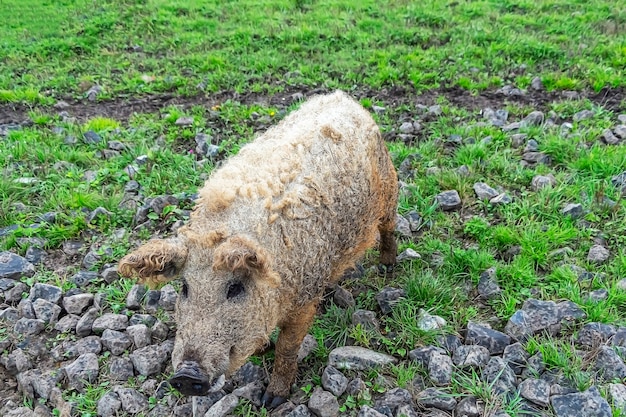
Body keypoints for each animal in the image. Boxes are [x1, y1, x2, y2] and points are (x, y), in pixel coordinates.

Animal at [119, 91, 398, 406]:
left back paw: (387, 266)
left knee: (389, 226)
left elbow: (288, 347)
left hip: (389, 185)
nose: (186, 376)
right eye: (185, 288)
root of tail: (342, 97)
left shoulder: (304, 298)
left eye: (235, 288)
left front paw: (272, 400)